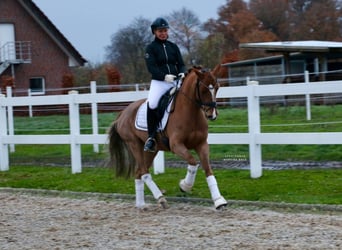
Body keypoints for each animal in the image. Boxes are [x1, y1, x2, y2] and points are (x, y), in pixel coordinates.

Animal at [108, 66, 228, 209]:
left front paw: (219, 200)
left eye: (217, 87)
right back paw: (160, 198)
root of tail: (122, 113)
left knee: (139, 172)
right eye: (203, 90)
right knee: (144, 172)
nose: (212, 115)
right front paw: (185, 186)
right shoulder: (176, 145)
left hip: (152, 150)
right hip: (134, 144)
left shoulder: (202, 144)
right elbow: (193, 162)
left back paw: (141, 204)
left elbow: (208, 170)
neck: (191, 113)